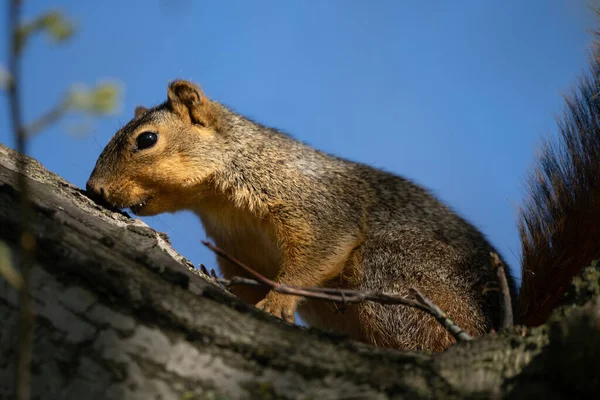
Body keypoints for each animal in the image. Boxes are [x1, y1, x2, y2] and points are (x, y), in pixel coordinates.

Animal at [84, 36, 600, 350]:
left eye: (146, 140)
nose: (94, 188)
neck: (219, 201)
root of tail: (496, 326)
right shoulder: (236, 248)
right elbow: (246, 278)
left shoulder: (316, 205)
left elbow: (319, 252)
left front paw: (277, 303)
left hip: (391, 277)